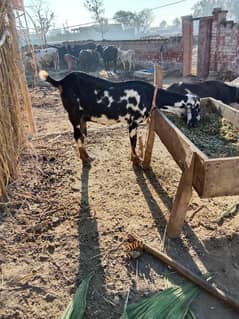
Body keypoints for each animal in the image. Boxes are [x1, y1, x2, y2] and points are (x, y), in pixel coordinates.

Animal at [39, 71, 200, 166]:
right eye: (198, 108)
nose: (196, 124)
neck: (150, 95)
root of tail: (62, 81)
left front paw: (134, 159)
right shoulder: (133, 122)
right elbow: (133, 143)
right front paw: (136, 161)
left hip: (81, 118)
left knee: (81, 137)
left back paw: (85, 157)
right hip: (74, 114)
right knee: (77, 136)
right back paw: (86, 159)